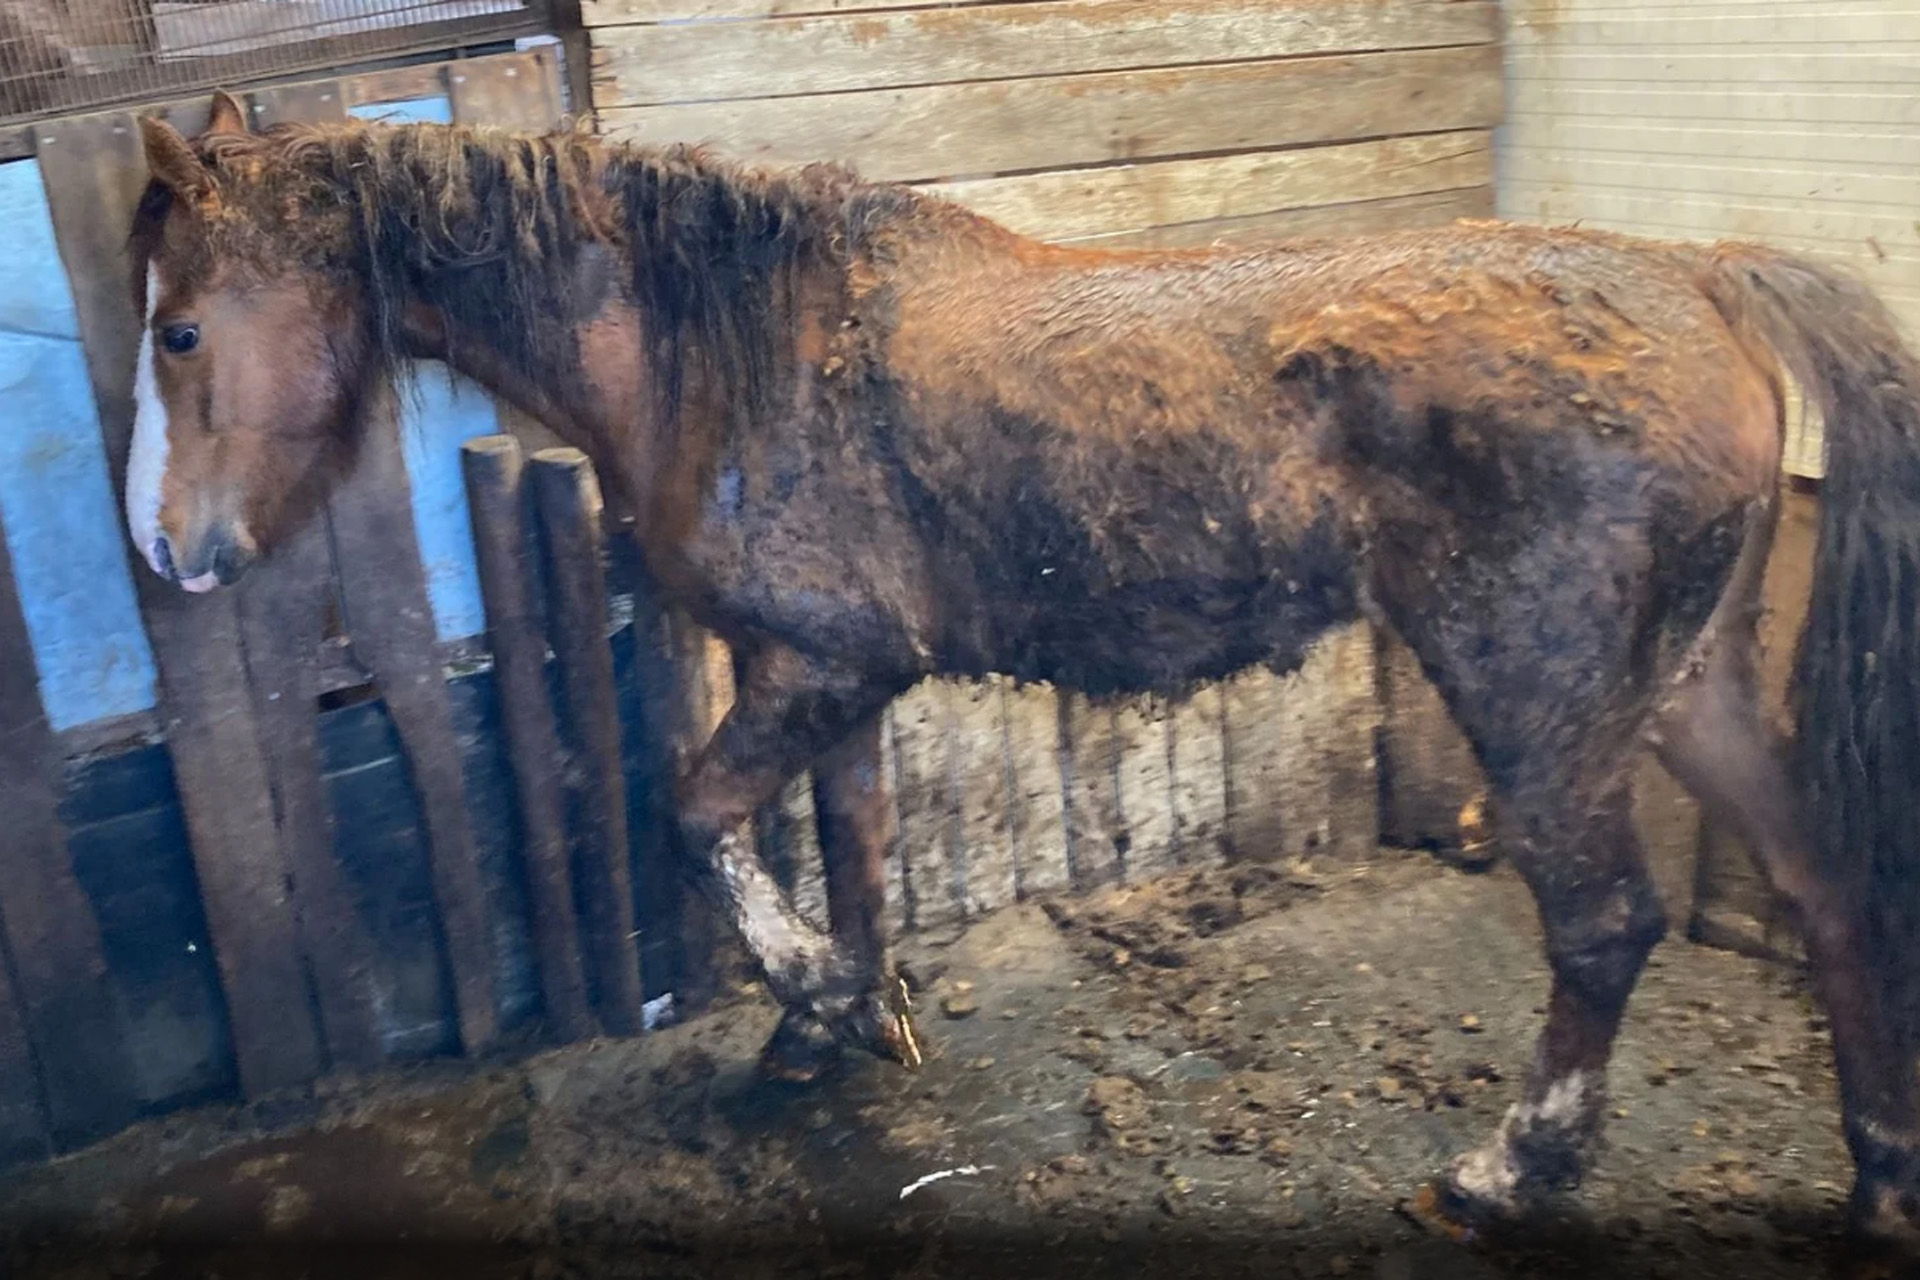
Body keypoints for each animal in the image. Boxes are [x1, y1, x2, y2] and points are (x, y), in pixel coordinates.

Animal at [125, 91, 1920, 1252]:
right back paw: (1881, 1172)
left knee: (1606, 928)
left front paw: (809, 998)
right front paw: (840, 1022)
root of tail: (1703, 277)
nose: (177, 555)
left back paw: (1504, 1176)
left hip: (1541, 701)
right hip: (1682, 691)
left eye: (179, 330)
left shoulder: (818, 669)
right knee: (1826, 888)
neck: (725, 347)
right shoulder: (830, 679)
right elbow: (850, 844)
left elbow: (698, 816)